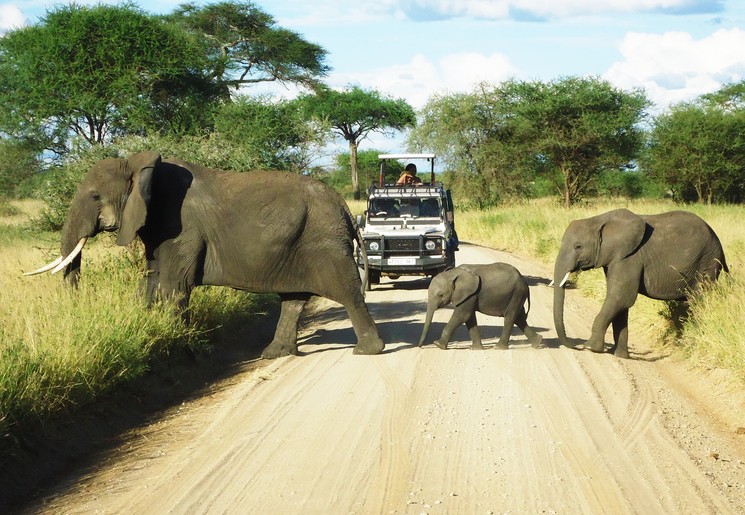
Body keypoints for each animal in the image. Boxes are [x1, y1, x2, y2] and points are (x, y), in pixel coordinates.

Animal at [24, 150, 384, 358]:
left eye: (95, 196)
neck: (140, 167)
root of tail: (345, 208)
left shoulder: (182, 226)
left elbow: (173, 286)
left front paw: (177, 344)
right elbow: (152, 280)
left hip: (324, 242)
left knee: (347, 292)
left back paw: (367, 351)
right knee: (294, 298)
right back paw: (274, 354)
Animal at [552, 208, 728, 360]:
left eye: (578, 247)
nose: (577, 346)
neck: (598, 220)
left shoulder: (630, 257)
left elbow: (621, 297)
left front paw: (591, 347)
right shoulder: (616, 258)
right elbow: (620, 303)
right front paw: (619, 355)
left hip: (707, 263)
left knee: (698, 303)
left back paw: (690, 347)